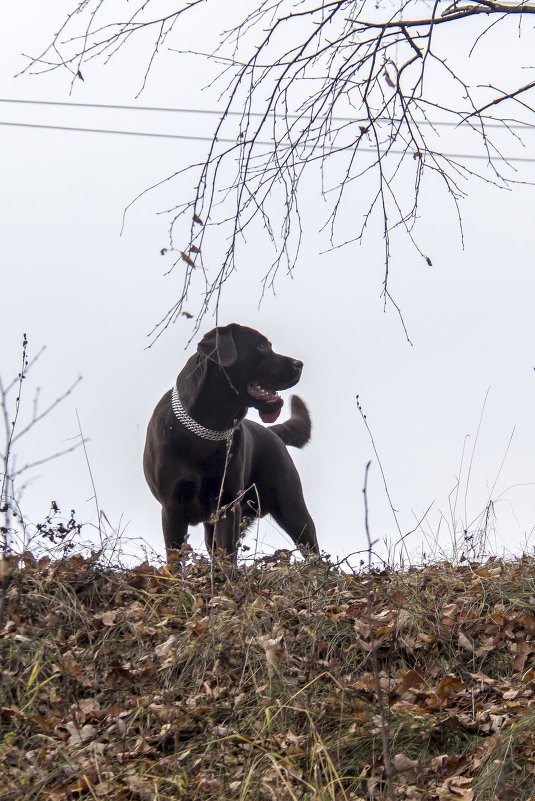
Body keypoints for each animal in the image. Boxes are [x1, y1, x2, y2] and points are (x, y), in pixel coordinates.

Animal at [143, 322, 318, 560]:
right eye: (262, 346)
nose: (299, 364)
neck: (208, 429)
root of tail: (271, 432)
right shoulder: (172, 507)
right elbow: (176, 559)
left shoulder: (227, 505)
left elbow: (227, 554)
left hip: (292, 508)